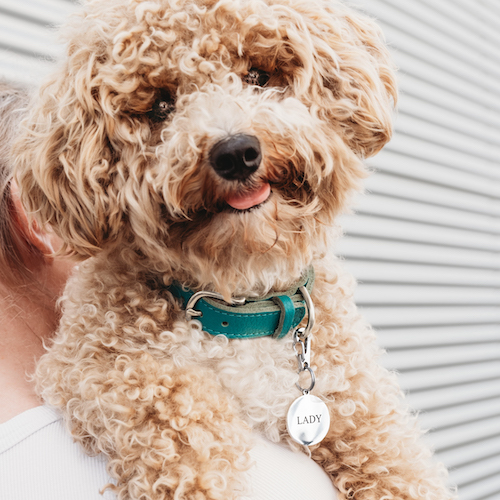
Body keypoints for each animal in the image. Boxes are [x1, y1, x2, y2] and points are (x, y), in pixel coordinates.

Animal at [14, 0, 454, 498]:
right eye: (161, 105)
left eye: (258, 75)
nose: (235, 152)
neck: (243, 303)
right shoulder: (93, 360)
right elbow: (174, 410)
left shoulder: (355, 396)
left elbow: (394, 459)